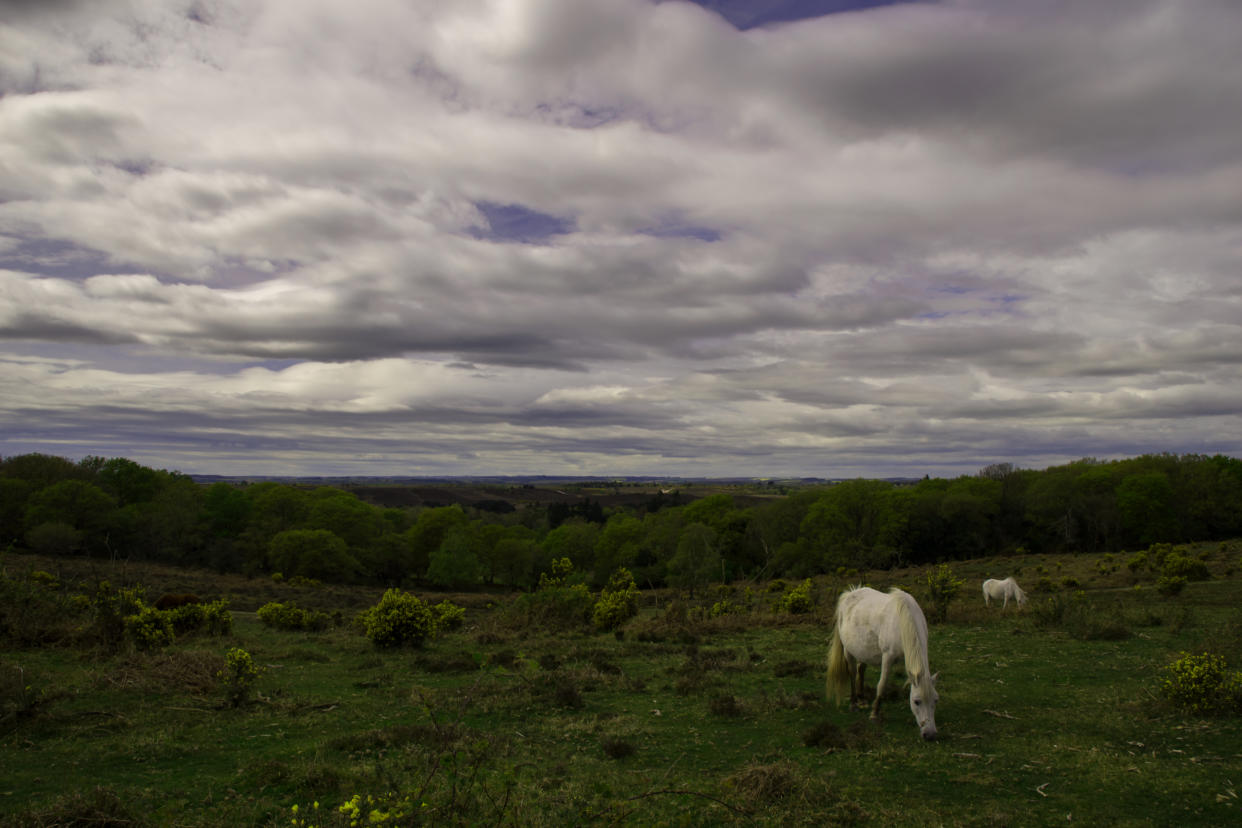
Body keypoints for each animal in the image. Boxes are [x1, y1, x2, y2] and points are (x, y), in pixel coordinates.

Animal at [829, 585, 933, 739]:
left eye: (936, 700)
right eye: (917, 701)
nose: (930, 734)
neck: (904, 620)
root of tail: (849, 594)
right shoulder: (888, 657)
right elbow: (882, 685)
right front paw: (874, 714)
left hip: (863, 650)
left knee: (861, 669)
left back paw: (862, 699)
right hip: (848, 650)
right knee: (852, 672)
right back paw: (854, 703)